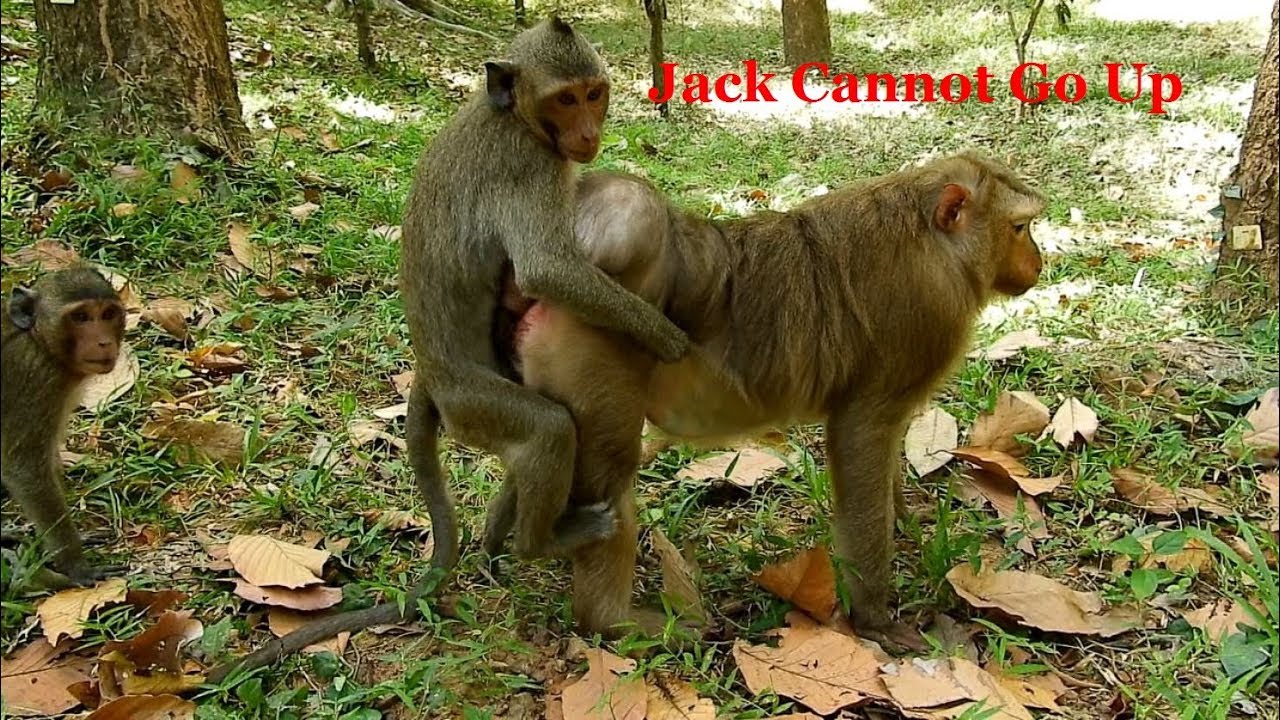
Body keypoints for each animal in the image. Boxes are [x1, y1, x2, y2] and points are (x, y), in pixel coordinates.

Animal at [1, 266, 126, 590]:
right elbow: (26, 469)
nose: (104, 342)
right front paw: (75, 565)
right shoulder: (36, 379)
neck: (36, 339)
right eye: (81, 317)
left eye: (108, 314)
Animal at [486, 152, 1046, 646]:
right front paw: (874, 618)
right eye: (1020, 227)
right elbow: (862, 433)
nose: (1038, 262)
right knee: (612, 466)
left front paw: (906, 516)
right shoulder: (928, 319)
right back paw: (608, 620)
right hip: (595, 349)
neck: (936, 242)